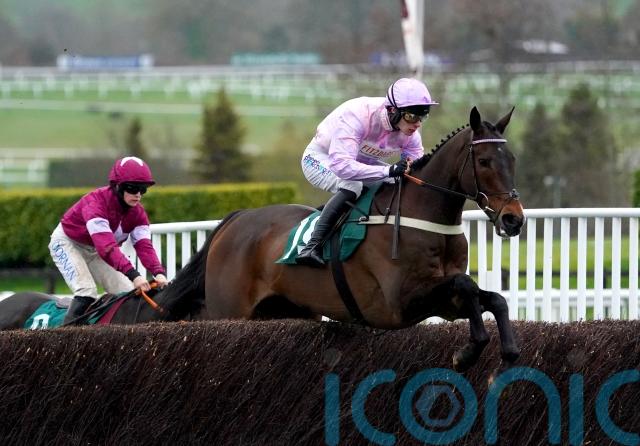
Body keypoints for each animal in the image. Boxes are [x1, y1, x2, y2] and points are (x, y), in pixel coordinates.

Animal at [157, 106, 525, 372]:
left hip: (287, 311)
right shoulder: (399, 303)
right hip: (230, 310)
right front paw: (467, 353)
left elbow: (492, 298)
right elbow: (466, 284)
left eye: (512, 160)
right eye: (484, 161)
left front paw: (506, 354)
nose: (514, 218)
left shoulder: (443, 301)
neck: (423, 217)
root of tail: (236, 219)